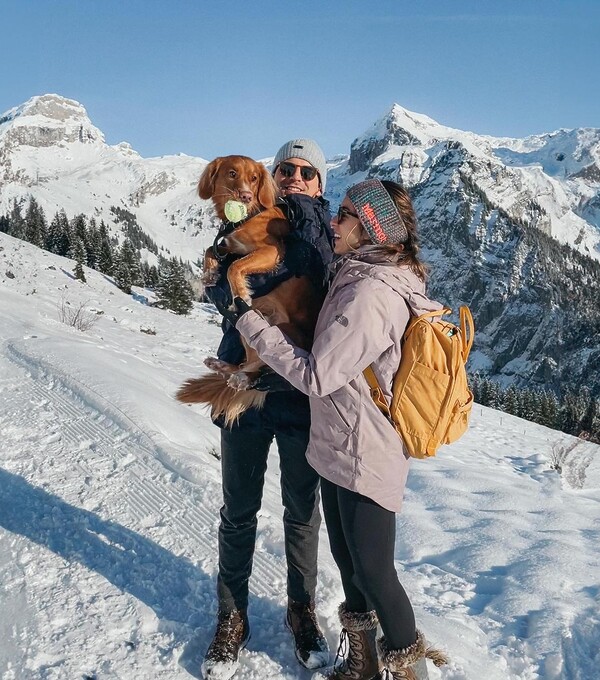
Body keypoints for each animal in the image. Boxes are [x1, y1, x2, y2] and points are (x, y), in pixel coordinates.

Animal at [173, 156, 324, 422]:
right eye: (232, 173)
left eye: (254, 178)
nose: (245, 195)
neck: (248, 216)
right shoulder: (228, 245)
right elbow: (213, 250)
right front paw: (210, 273)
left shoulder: (272, 251)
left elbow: (235, 266)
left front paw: (240, 292)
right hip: (249, 325)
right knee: (246, 363)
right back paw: (223, 367)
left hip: (279, 332)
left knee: (265, 368)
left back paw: (245, 378)